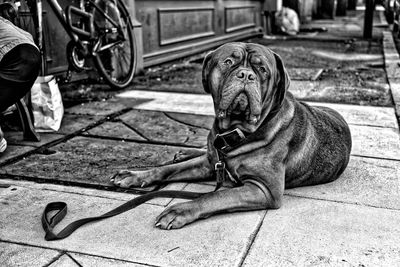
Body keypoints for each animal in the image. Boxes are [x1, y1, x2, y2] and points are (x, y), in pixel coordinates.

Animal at [111, 42, 350, 230]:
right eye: (227, 62)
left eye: (262, 69)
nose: (246, 75)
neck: (233, 133)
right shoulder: (210, 164)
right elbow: (168, 169)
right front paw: (134, 175)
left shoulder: (264, 189)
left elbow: (217, 195)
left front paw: (180, 210)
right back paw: (183, 153)